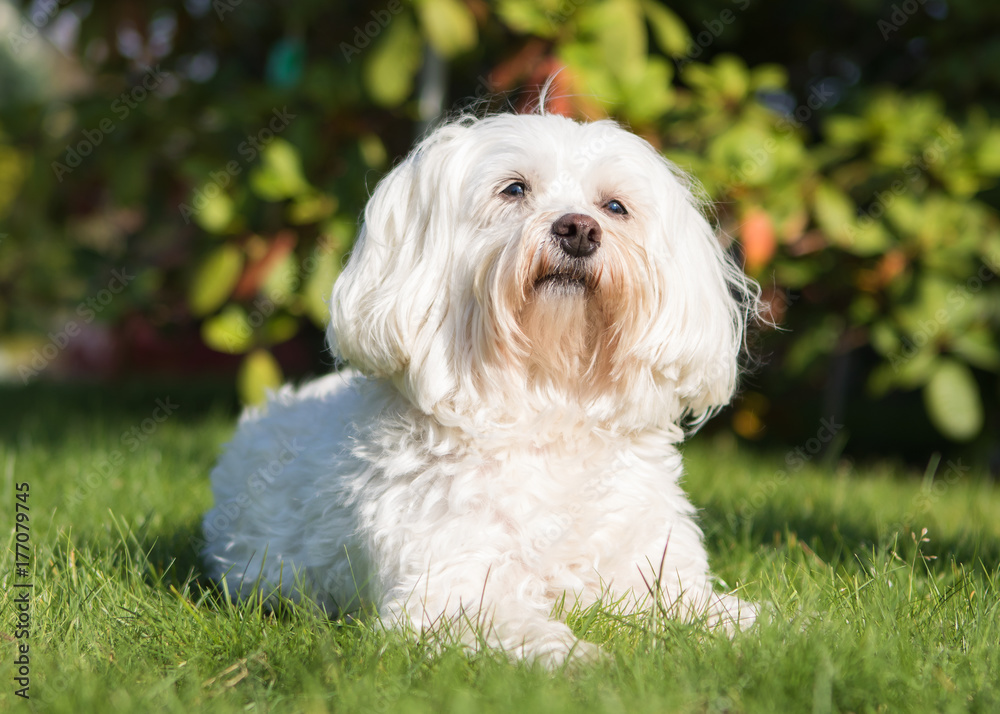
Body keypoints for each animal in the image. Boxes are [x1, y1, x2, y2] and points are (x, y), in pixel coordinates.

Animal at [207, 110, 760, 660]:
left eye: (615, 206)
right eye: (513, 189)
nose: (579, 228)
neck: (549, 397)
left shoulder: (649, 564)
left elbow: (694, 605)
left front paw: (750, 627)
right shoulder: (448, 590)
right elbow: (514, 626)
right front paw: (577, 656)